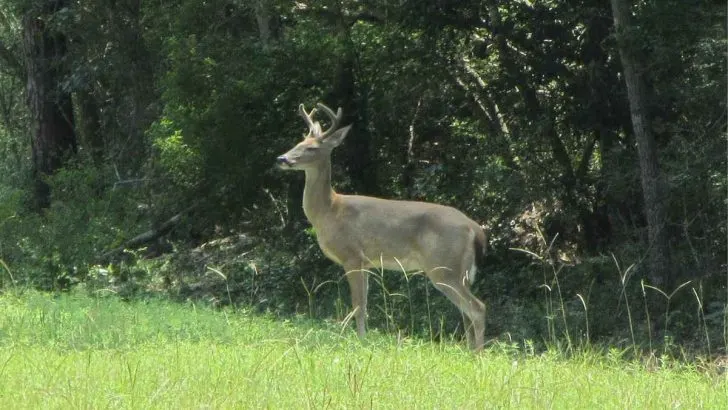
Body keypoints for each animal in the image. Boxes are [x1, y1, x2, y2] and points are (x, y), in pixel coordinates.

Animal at [276, 103, 488, 351]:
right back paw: (469, 351)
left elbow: (358, 305)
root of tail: (475, 228)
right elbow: (365, 304)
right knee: (466, 312)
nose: (282, 158)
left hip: (444, 265)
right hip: (460, 270)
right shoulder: (367, 262)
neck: (329, 211)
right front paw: (365, 339)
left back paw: (478, 354)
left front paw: (360, 342)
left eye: (311, 148)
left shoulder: (351, 255)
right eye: (298, 143)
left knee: (477, 308)